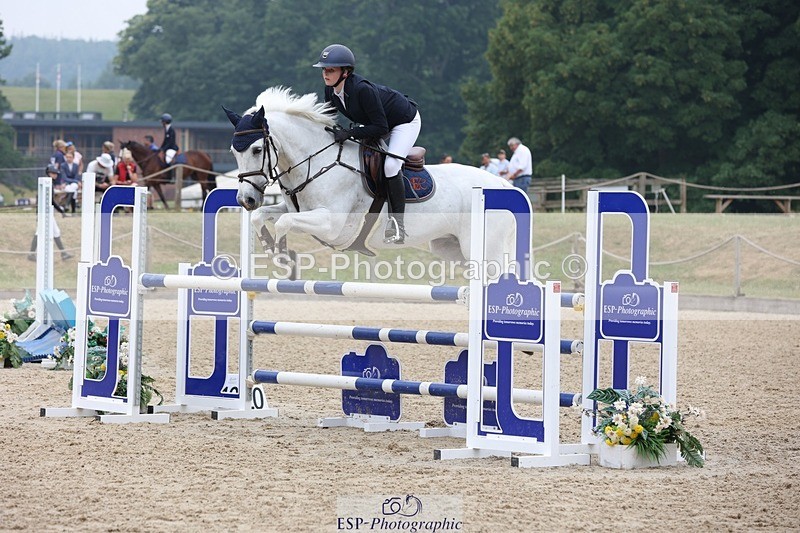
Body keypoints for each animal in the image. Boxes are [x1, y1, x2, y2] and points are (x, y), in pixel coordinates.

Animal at [226, 86, 517, 263]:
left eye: (257, 149)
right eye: (233, 152)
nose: (245, 200)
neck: (318, 161)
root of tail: (502, 183)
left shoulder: (332, 225)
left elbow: (284, 222)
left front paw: (283, 255)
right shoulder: (294, 209)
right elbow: (264, 216)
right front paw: (269, 247)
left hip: (484, 250)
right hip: (451, 248)